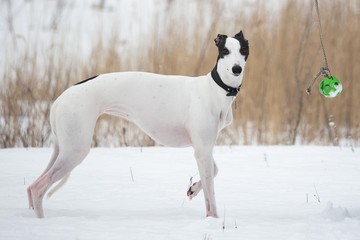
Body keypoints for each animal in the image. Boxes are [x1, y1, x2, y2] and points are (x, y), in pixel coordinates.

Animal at [26, 30, 249, 218]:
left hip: (63, 148)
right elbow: (211, 195)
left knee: (31, 187)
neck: (215, 89)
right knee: (38, 187)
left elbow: (214, 171)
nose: (237, 69)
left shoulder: (203, 148)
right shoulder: (202, 149)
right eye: (225, 51)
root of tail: (59, 100)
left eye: (243, 50)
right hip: (75, 149)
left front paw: (193, 188)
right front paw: (213, 220)